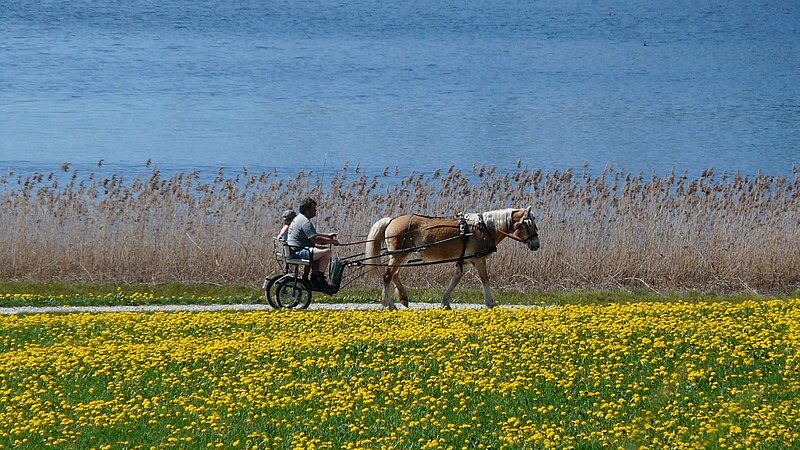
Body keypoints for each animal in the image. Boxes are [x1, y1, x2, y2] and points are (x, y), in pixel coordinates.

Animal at [366, 207, 540, 310]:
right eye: (529, 225)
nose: (536, 245)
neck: (483, 228)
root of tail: (391, 220)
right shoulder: (479, 260)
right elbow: (485, 280)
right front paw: (491, 303)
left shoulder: (466, 262)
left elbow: (454, 281)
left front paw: (445, 302)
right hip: (399, 254)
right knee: (388, 275)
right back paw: (390, 304)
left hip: (404, 255)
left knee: (394, 274)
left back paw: (403, 298)